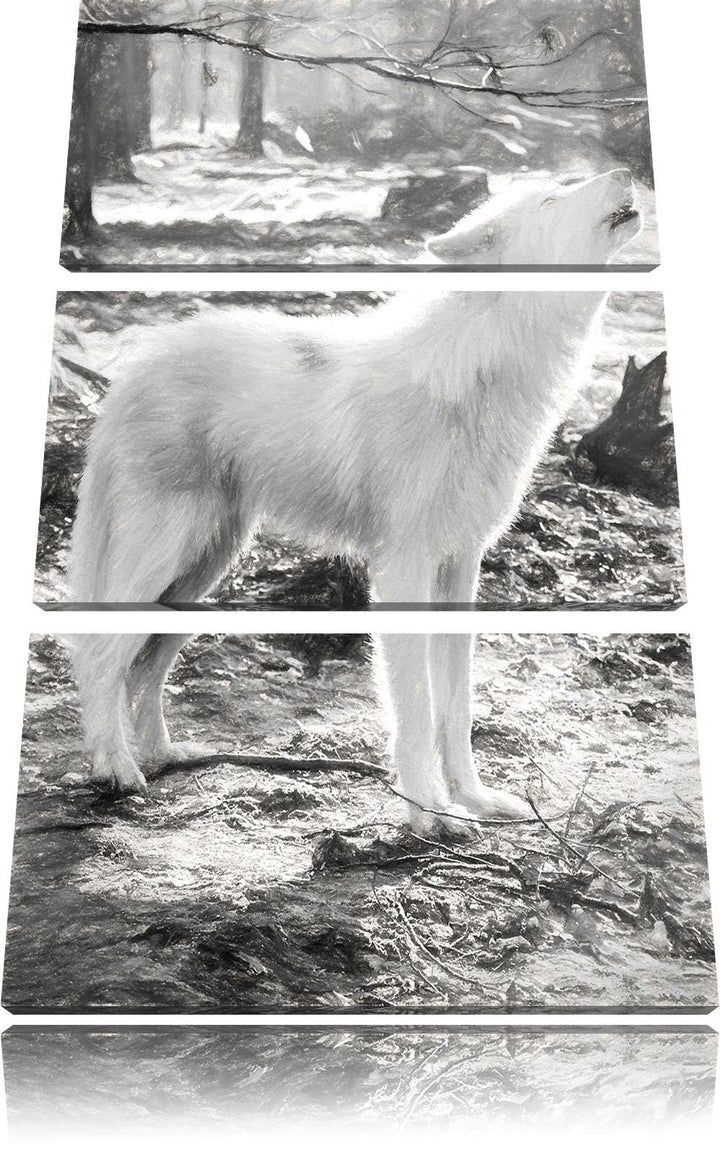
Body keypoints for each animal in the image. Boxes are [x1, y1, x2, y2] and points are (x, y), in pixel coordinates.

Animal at [69, 169, 641, 832]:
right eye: (553, 198)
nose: (626, 173)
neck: (482, 365)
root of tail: (132, 371)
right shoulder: (404, 570)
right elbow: (416, 707)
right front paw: (429, 811)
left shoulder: (460, 567)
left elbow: (457, 705)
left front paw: (472, 801)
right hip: (166, 558)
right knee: (100, 657)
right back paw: (115, 770)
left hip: (201, 573)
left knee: (145, 666)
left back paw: (163, 754)